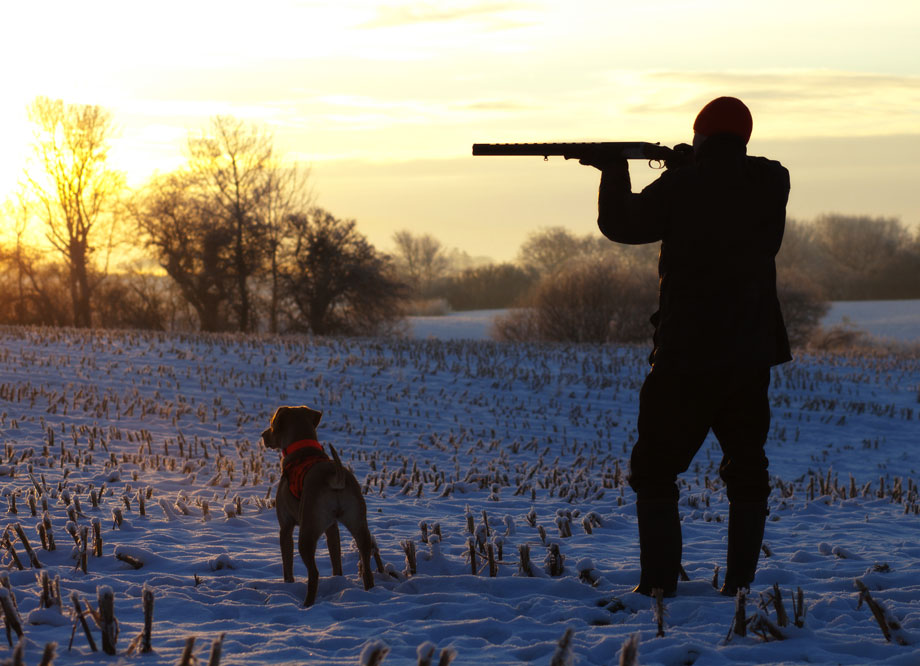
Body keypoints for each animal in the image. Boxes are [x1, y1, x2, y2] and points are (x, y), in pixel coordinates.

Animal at [260, 402, 376, 604]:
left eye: (272, 423)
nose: (263, 435)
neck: (303, 447)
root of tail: (335, 476)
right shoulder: (332, 527)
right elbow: (335, 557)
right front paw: (337, 578)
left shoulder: (286, 526)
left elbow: (287, 564)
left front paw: (288, 584)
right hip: (359, 523)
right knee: (367, 566)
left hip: (307, 531)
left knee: (314, 573)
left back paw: (307, 603)